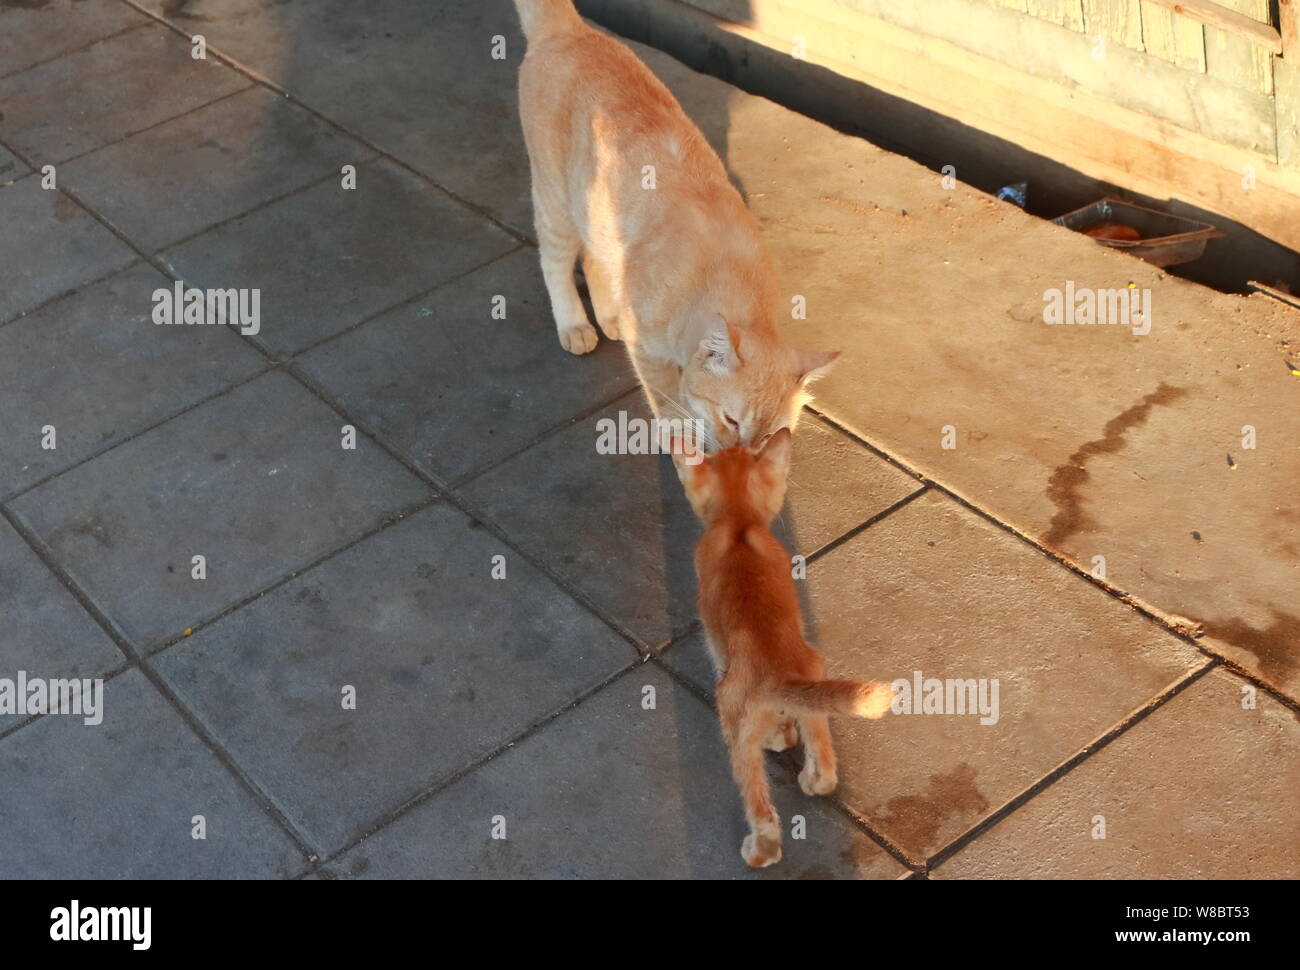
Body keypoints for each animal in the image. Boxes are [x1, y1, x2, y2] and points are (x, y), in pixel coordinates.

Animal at [512, 0, 837, 449]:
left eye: (769, 434)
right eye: (731, 420)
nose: (741, 455)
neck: (723, 276)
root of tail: (569, 29)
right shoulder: (650, 352)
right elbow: (665, 393)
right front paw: (678, 432)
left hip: (594, 213)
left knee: (595, 260)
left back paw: (611, 315)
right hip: (555, 201)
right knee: (555, 263)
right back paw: (575, 324)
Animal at [670, 426, 894, 863]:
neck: (738, 525)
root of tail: (777, 673)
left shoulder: (712, 633)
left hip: (734, 720)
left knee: (758, 799)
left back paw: (762, 848)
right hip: (815, 681)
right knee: (822, 752)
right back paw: (812, 774)